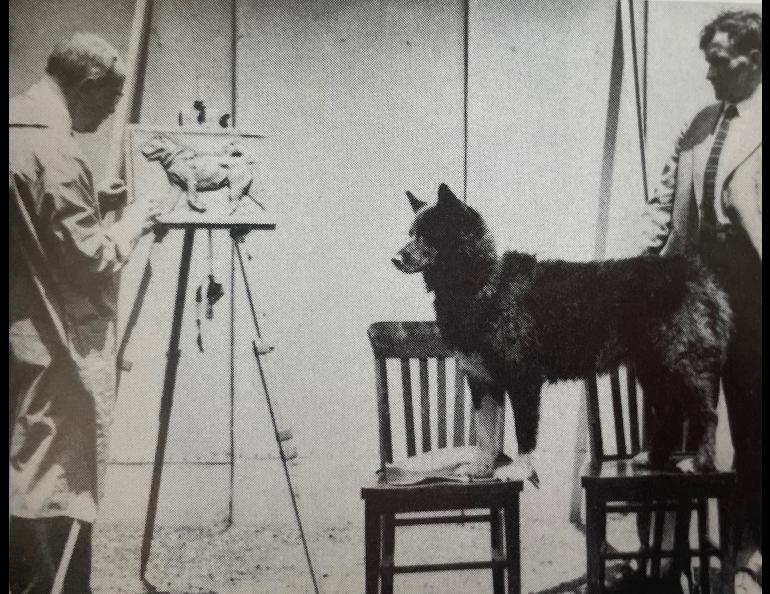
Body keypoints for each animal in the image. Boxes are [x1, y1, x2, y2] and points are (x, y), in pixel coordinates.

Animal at [392, 184, 728, 476]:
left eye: (427, 235)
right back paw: (655, 459)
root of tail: (696, 273)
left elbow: (524, 431)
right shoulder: (482, 380)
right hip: (653, 369)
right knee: (671, 413)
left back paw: (700, 462)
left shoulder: (523, 379)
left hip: (682, 364)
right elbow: (486, 432)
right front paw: (481, 467)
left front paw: (521, 470)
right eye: (410, 233)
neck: (481, 281)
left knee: (707, 414)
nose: (395, 258)